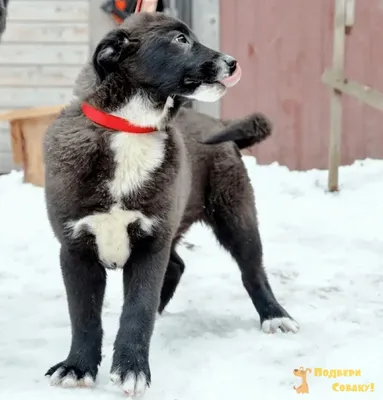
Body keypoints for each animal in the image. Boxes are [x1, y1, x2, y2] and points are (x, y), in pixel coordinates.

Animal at [42, 11, 300, 396]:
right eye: (180, 40)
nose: (232, 62)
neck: (131, 128)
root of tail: (219, 125)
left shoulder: (150, 244)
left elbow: (137, 310)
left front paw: (132, 369)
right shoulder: (76, 248)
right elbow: (84, 316)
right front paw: (77, 367)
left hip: (235, 216)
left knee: (252, 271)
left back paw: (275, 316)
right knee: (177, 265)